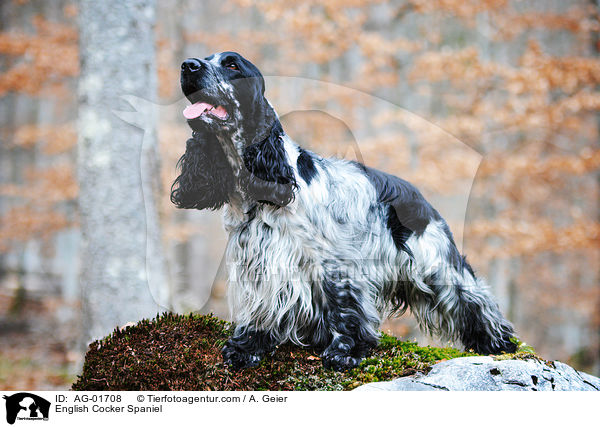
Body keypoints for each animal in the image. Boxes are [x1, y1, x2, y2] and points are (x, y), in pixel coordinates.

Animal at [171, 50, 516, 372]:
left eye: (232, 65)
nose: (188, 65)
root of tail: (417, 195)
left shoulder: (335, 262)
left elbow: (345, 307)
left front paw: (345, 351)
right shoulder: (258, 261)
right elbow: (261, 307)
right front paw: (246, 347)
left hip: (434, 261)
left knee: (472, 297)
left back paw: (498, 342)